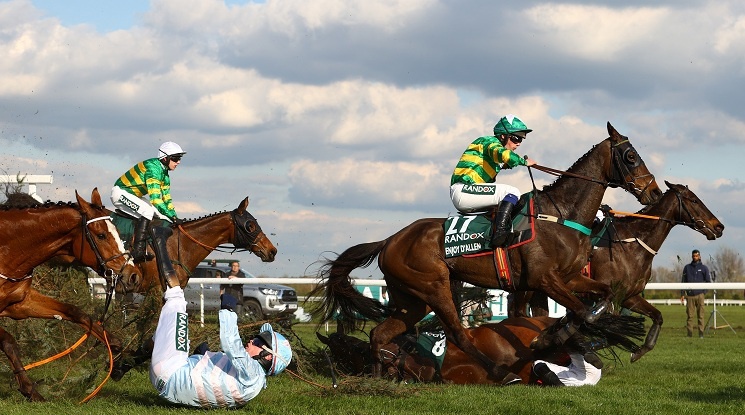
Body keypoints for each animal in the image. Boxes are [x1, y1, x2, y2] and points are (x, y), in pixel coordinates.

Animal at [0, 190, 140, 402]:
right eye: (101, 235)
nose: (132, 275)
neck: (6, 251)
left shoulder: (19, 303)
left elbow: (75, 312)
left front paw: (114, 344)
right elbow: (8, 341)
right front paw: (29, 388)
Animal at [310, 122, 660, 386]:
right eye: (630, 156)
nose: (654, 191)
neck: (561, 214)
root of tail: (389, 240)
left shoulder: (571, 278)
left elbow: (601, 301)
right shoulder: (543, 279)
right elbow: (586, 312)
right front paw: (559, 337)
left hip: (412, 299)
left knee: (379, 334)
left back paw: (380, 376)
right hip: (434, 287)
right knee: (457, 333)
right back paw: (501, 373)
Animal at [508, 180, 724, 362]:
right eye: (694, 200)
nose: (719, 226)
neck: (633, 244)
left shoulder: (629, 296)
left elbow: (657, 316)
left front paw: (639, 350)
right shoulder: (611, 297)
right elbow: (607, 331)